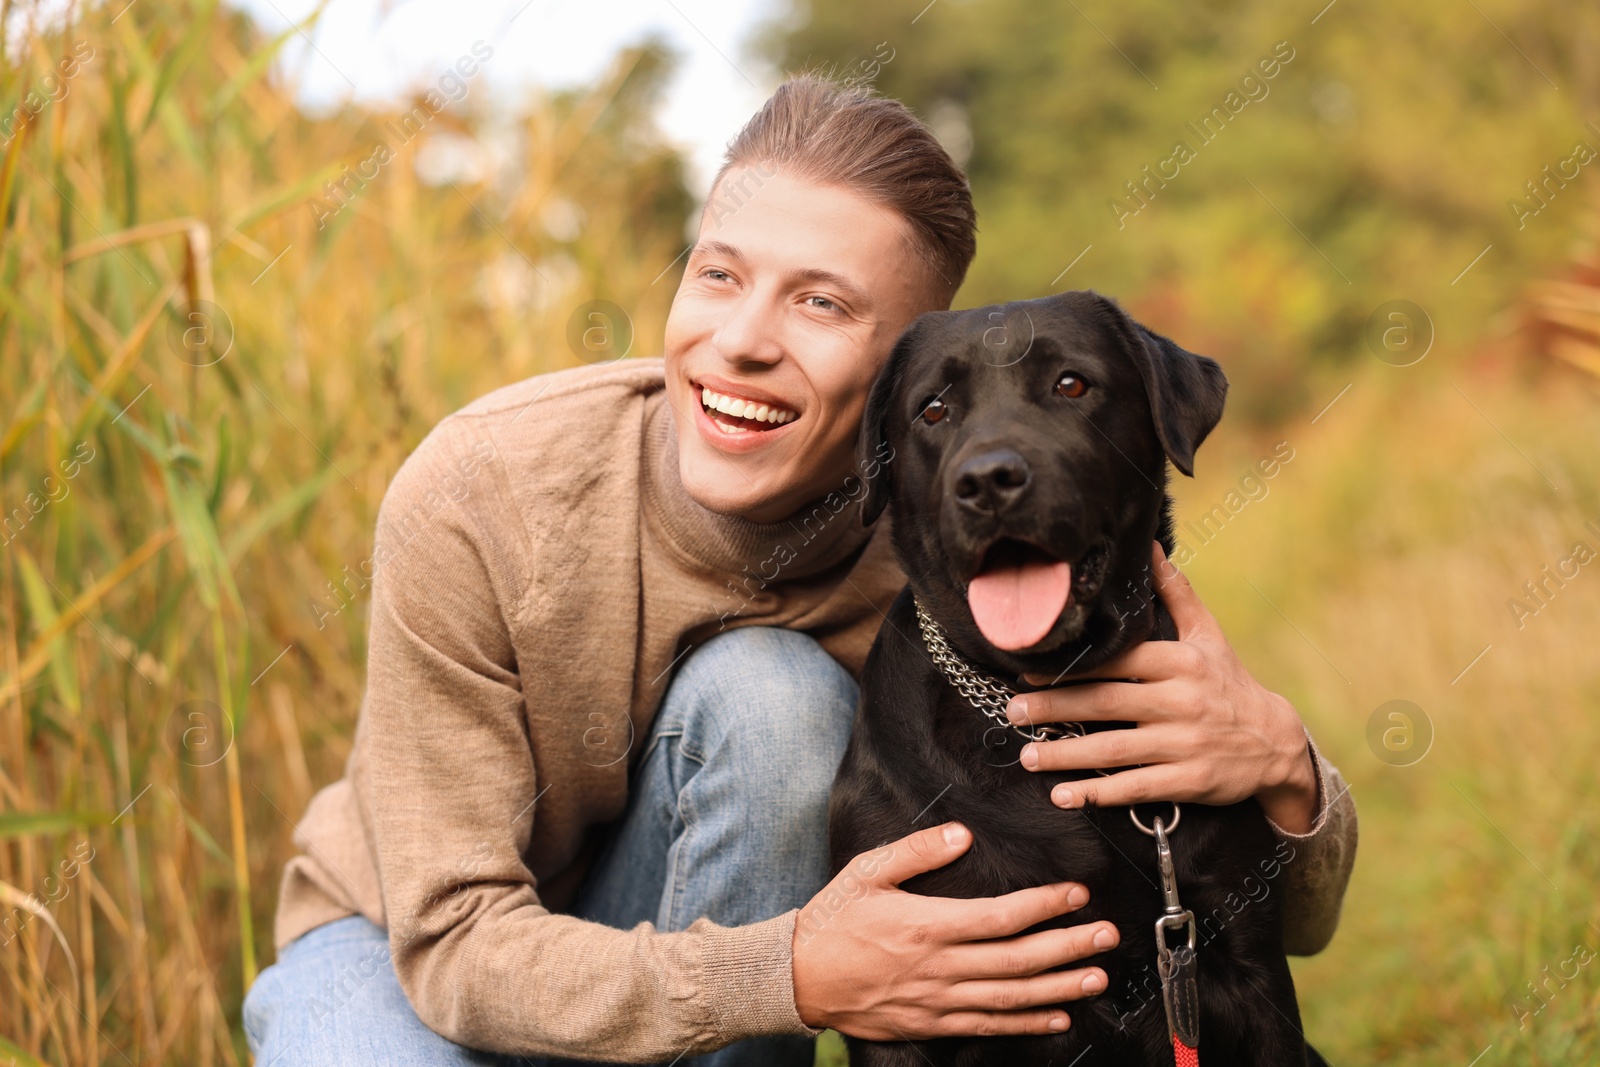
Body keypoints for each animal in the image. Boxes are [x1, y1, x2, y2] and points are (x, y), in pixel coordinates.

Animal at [832, 292, 1305, 1067]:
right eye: (933, 409)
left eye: (1071, 384)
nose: (987, 481)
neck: (1055, 709)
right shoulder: (898, 998)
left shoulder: (1247, 961)